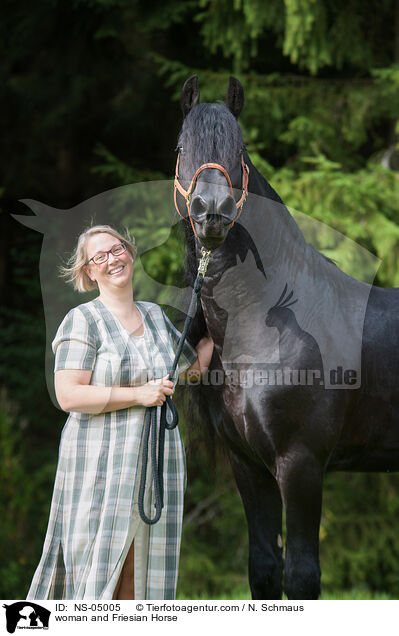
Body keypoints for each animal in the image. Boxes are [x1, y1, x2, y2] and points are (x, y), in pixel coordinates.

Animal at [174, 76, 399, 600]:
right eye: (181, 148)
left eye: (240, 153)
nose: (211, 213)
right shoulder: (249, 468)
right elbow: (264, 569)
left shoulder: (301, 465)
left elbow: (300, 577)